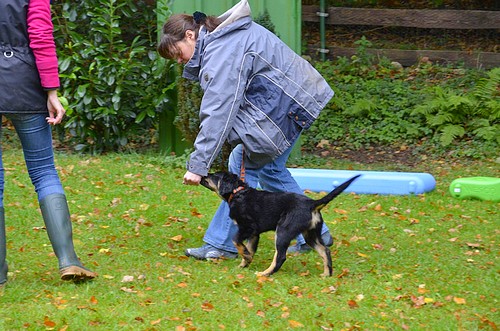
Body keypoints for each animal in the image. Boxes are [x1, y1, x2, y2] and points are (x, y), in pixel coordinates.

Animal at [201, 171, 362, 278]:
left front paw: (245, 256)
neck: (238, 193)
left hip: (284, 231)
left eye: (214, 176)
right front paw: (244, 264)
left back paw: (264, 274)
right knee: (325, 251)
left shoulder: (248, 227)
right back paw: (326, 274)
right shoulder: (255, 234)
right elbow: (251, 249)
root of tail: (312, 204)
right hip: (311, 234)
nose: (203, 176)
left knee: (280, 257)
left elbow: (236, 241)